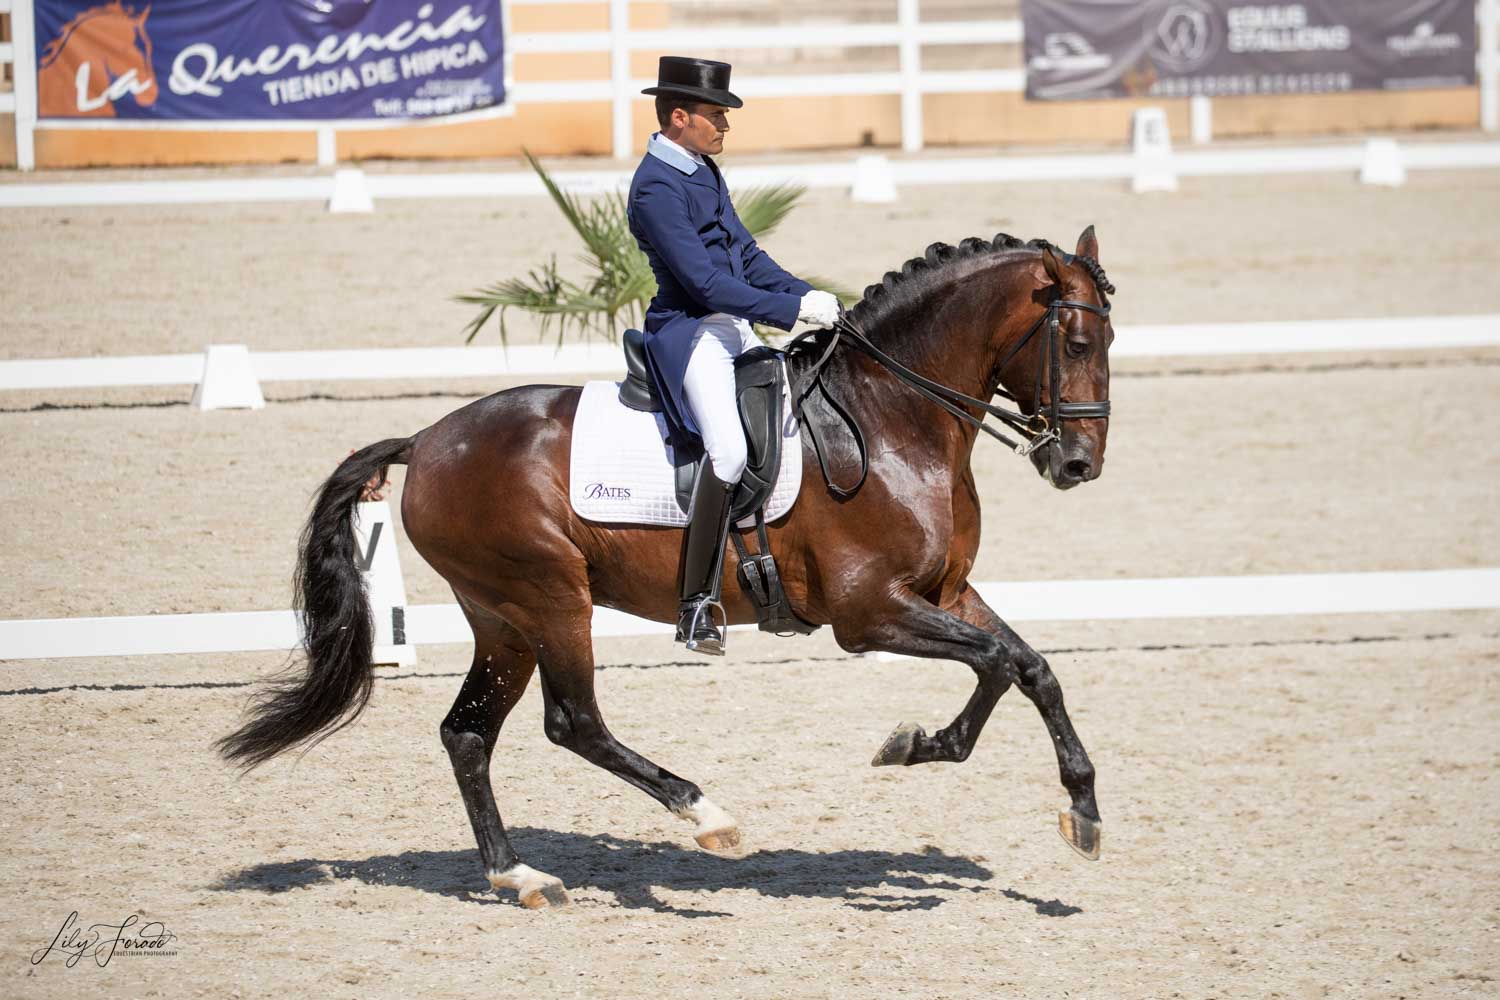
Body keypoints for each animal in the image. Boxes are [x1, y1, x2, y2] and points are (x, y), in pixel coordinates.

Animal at [219, 224, 1116, 905]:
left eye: (1109, 339)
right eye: (1074, 341)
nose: (1077, 464)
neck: (891, 414)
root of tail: (428, 440)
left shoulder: (945, 592)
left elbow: (1030, 667)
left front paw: (1076, 807)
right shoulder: (868, 613)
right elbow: (1000, 660)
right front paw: (917, 746)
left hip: (500, 617)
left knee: (467, 733)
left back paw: (518, 875)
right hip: (550, 598)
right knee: (572, 721)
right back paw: (705, 815)